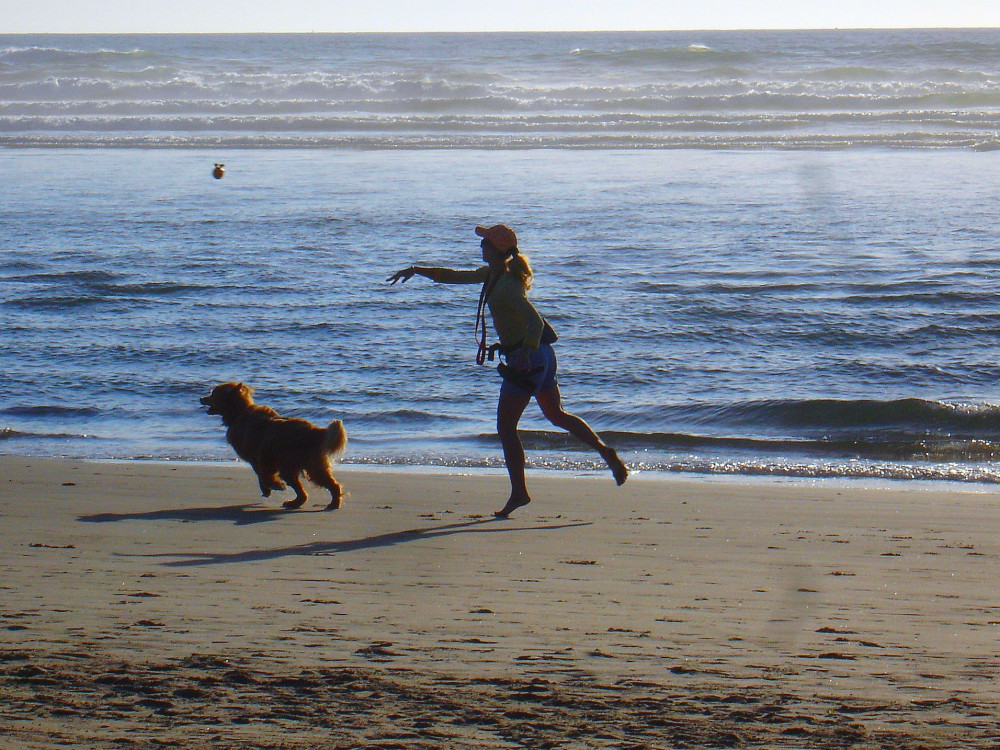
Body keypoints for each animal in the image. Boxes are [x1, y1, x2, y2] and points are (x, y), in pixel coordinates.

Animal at [199, 382, 348, 512]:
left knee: (328, 485)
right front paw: (270, 488)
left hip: (299, 465)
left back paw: (332, 504)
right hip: (300, 465)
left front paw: (273, 486)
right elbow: (261, 475)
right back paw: (297, 503)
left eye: (213, 394)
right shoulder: (262, 459)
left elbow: (263, 475)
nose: (201, 398)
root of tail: (314, 430)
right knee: (307, 490)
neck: (239, 413)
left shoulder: (260, 457)